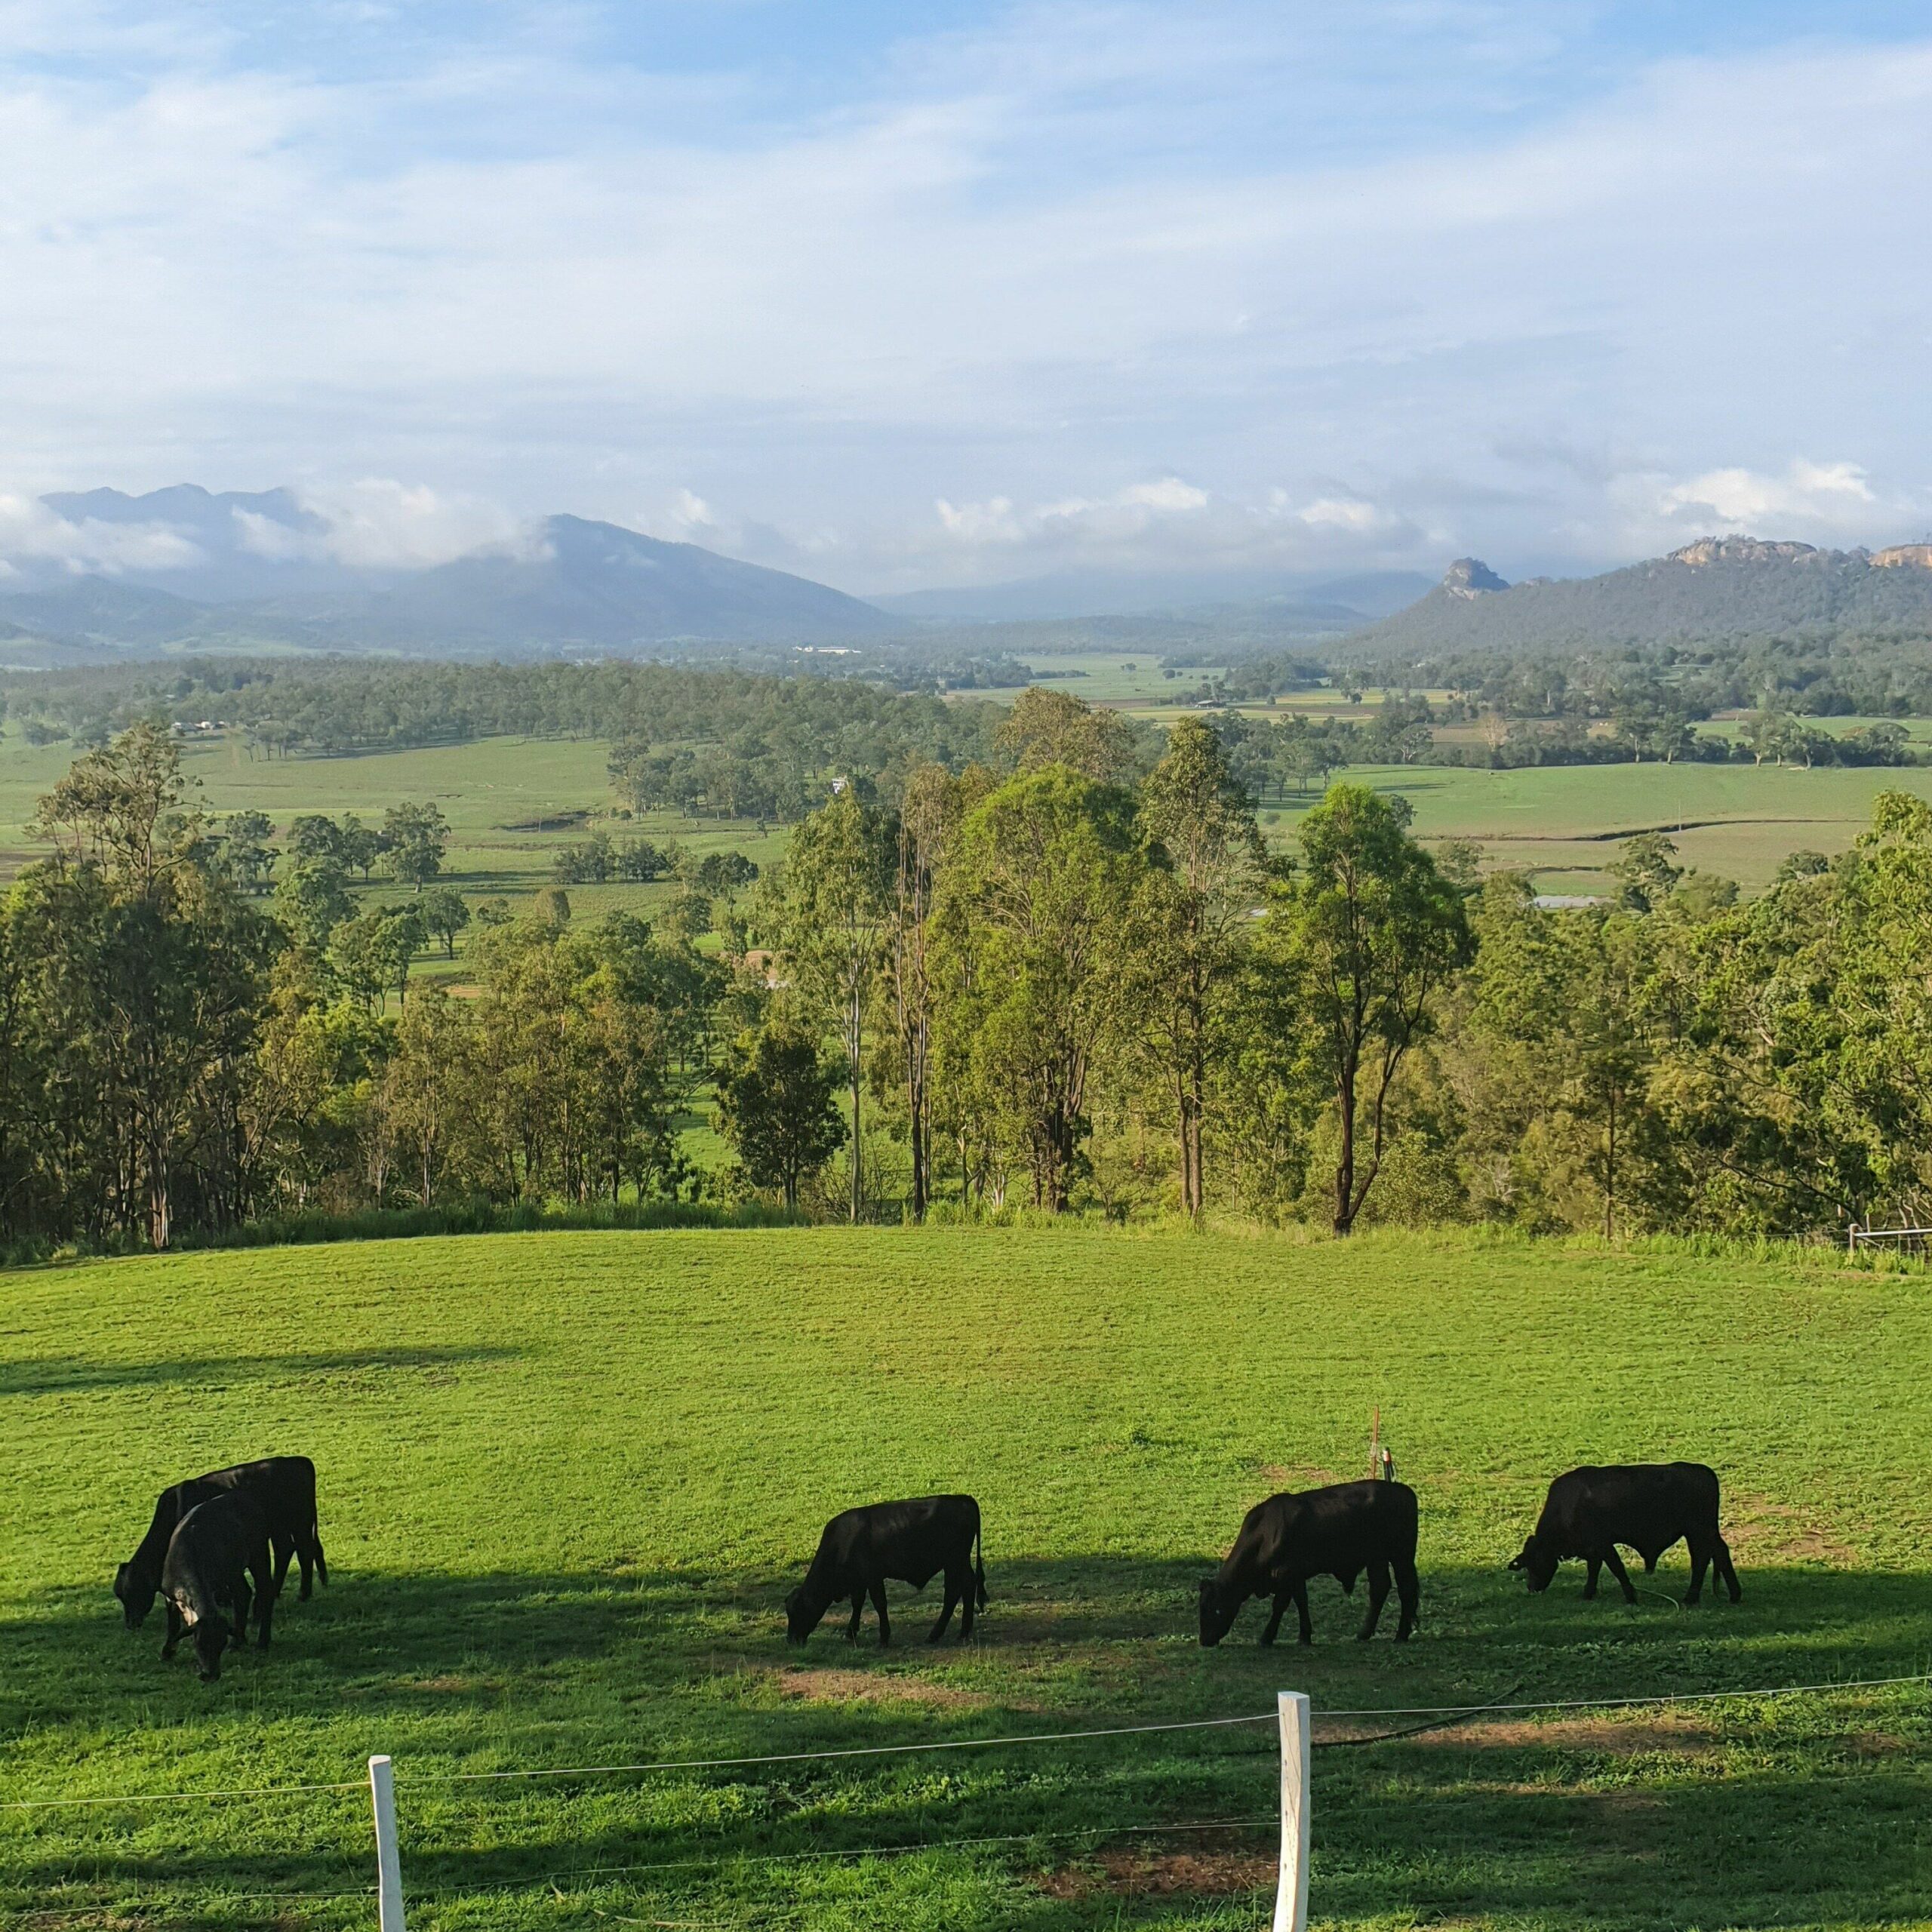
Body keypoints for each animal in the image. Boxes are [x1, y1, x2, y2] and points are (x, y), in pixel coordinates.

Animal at [114, 1453, 326, 1623]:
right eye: (121, 1595)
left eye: (133, 1591)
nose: (131, 1623)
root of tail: (297, 1460)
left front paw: (224, 1599)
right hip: (280, 1528)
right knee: (286, 1550)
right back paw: (276, 1591)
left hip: (300, 1522)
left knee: (305, 1550)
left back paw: (303, 1594)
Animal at [160, 1484, 276, 1684]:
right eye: (199, 1644)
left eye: (220, 1644)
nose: (210, 1674)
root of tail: (245, 1497)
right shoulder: (169, 1596)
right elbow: (173, 1626)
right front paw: (167, 1652)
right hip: (234, 1571)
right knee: (243, 1593)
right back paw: (239, 1641)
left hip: (259, 1554)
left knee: (265, 1591)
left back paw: (262, 1641)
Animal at [784, 1491, 989, 1646]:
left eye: (797, 1612)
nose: (791, 1640)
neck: (841, 1542)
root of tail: (962, 1499)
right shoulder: (859, 1582)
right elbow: (857, 1603)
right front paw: (851, 1632)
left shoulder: (873, 1577)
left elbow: (880, 1604)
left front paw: (883, 1637)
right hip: (953, 1564)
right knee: (958, 1591)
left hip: (956, 1562)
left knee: (960, 1590)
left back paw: (954, 1634)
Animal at [1189, 1475, 1422, 1646]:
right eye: (1201, 1607)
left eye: (1215, 1609)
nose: (1204, 1640)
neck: (1266, 1534)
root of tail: (1403, 1490)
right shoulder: (1296, 1576)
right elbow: (1302, 1601)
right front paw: (1304, 1636)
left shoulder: (1286, 1574)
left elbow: (1280, 1605)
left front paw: (1267, 1637)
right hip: (1376, 1559)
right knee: (1379, 1589)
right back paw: (1364, 1633)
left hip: (1402, 1556)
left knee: (1406, 1590)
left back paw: (1400, 1635)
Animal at [1515, 1453, 1746, 1607]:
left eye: (1533, 1562)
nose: (1532, 1588)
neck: (1567, 1505)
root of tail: (1701, 1470)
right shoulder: (1594, 1549)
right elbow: (1595, 1569)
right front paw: (1588, 1593)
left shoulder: (1602, 1544)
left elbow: (1616, 1568)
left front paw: (1631, 1597)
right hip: (1704, 1532)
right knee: (1716, 1554)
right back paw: (1729, 1595)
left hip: (1699, 1531)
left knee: (1703, 1559)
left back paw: (1693, 1598)